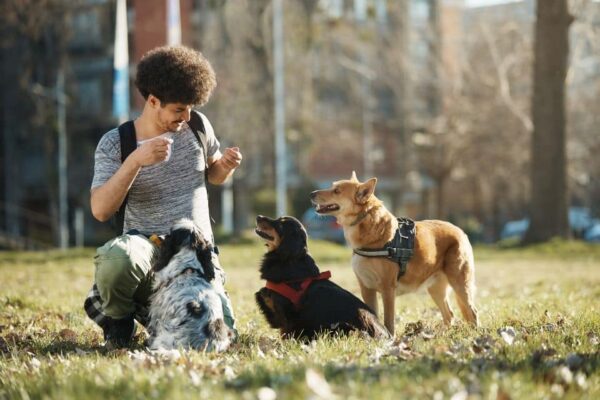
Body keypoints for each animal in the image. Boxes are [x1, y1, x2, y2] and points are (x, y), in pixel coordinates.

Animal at [310, 172, 478, 334]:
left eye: (337, 191)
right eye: (332, 186)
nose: (311, 193)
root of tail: (460, 231)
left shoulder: (388, 289)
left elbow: (388, 321)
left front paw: (390, 338)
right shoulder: (367, 288)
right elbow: (373, 315)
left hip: (460, 283)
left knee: (472, 312)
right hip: (436, 288)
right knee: (449, 315)